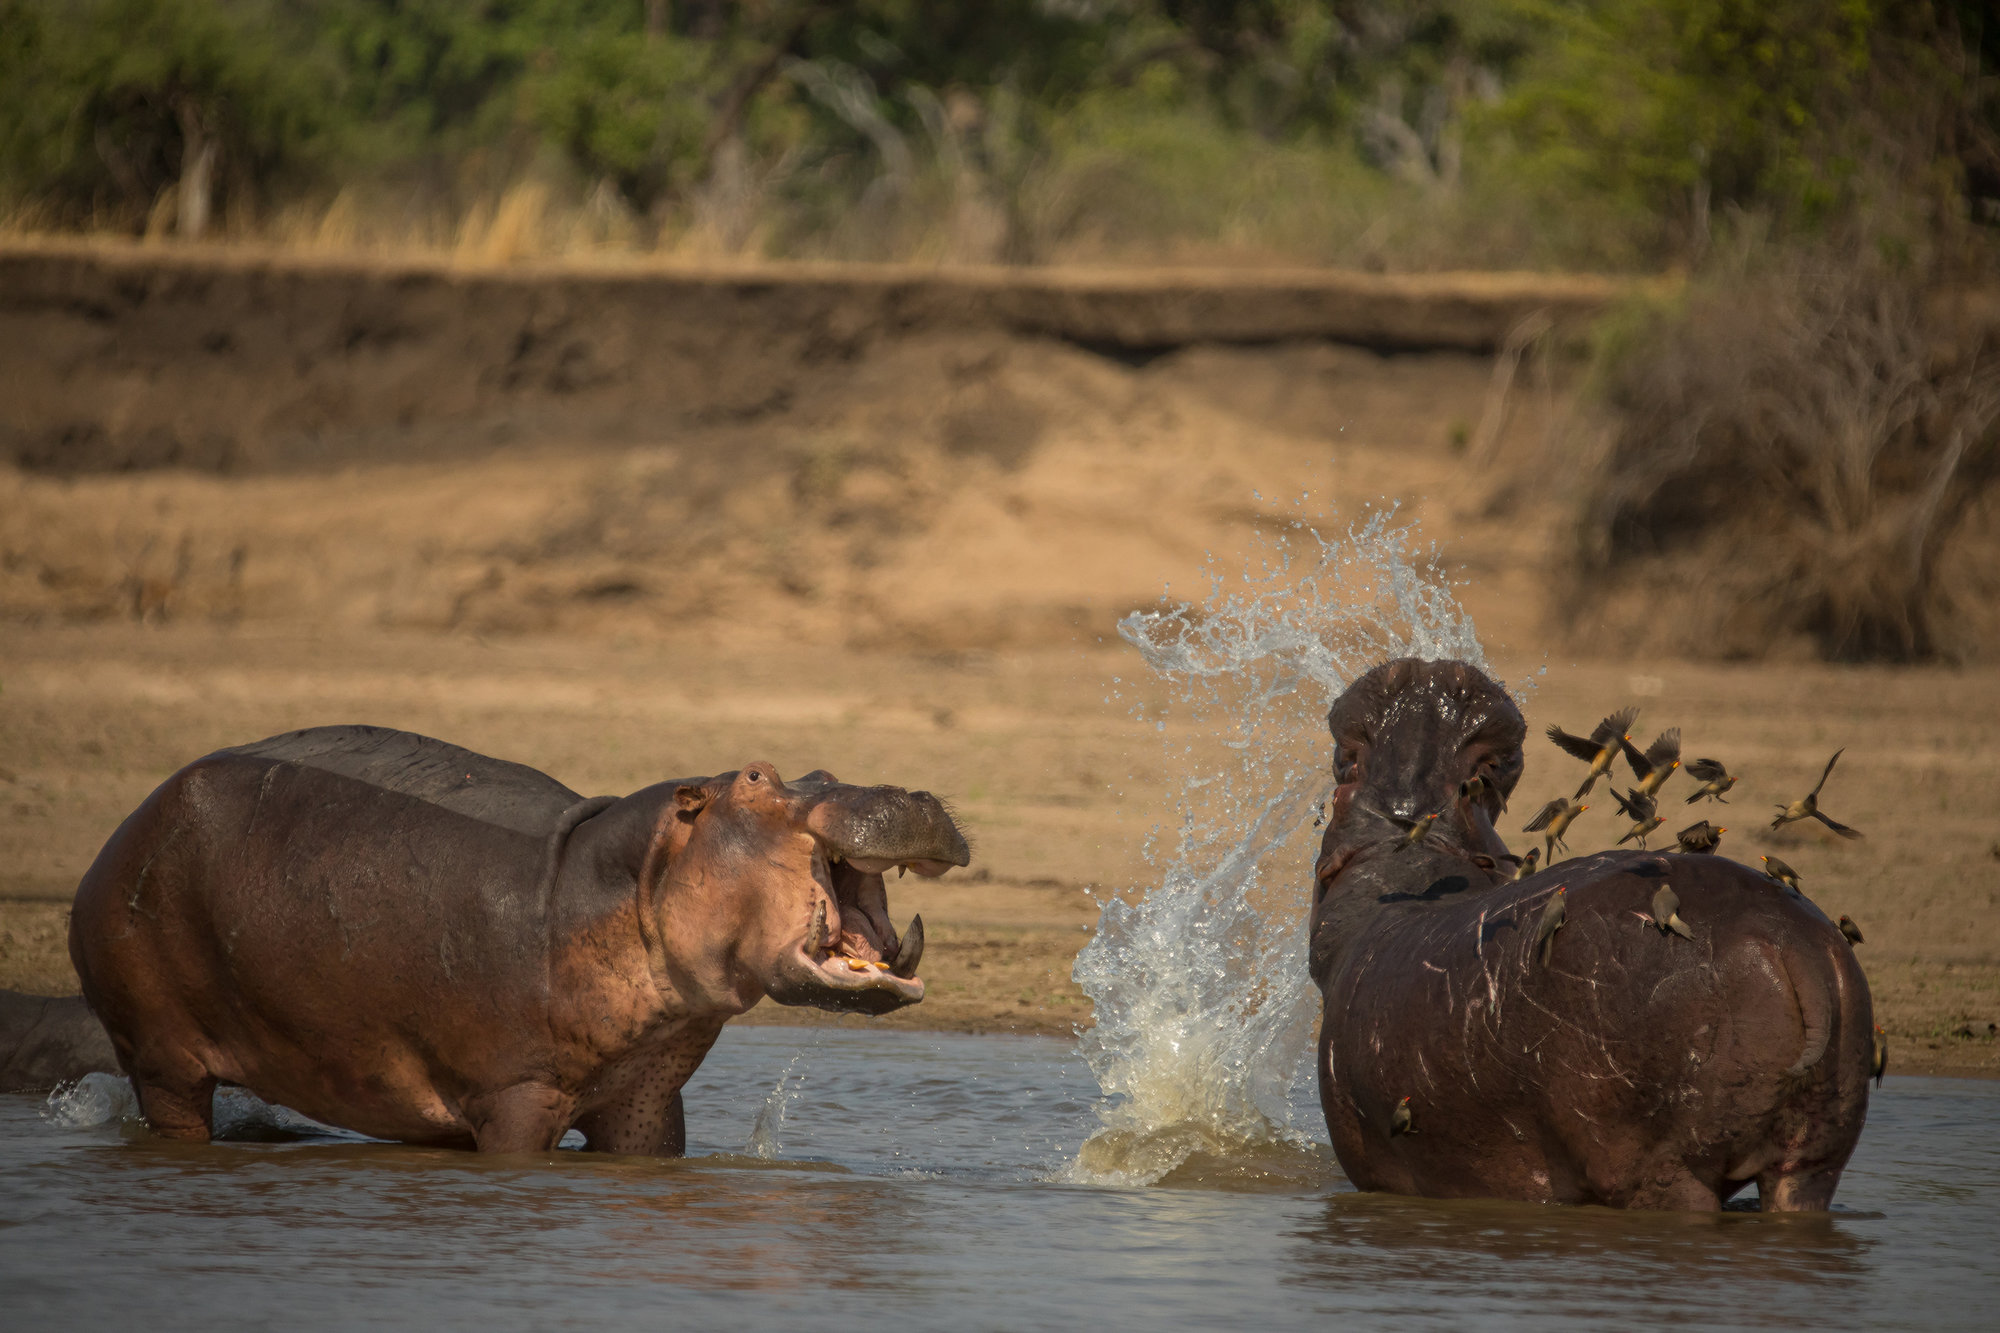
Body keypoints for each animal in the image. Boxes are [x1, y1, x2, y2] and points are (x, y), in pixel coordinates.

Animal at [64, 720, 968, 1144]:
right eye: (754, 775)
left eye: (824, 769)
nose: (914, 793)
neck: (624, 880)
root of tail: (122, 830)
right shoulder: (517, 1096)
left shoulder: (645, 1100)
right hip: (162, 1057)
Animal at [1312, 660, 1872, 1208]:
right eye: (1483, 777)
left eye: (1342, 775)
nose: (1427, 680)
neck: (1412, 863)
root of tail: (1785, 937)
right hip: (1814, 1153)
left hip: (1666, 1167)